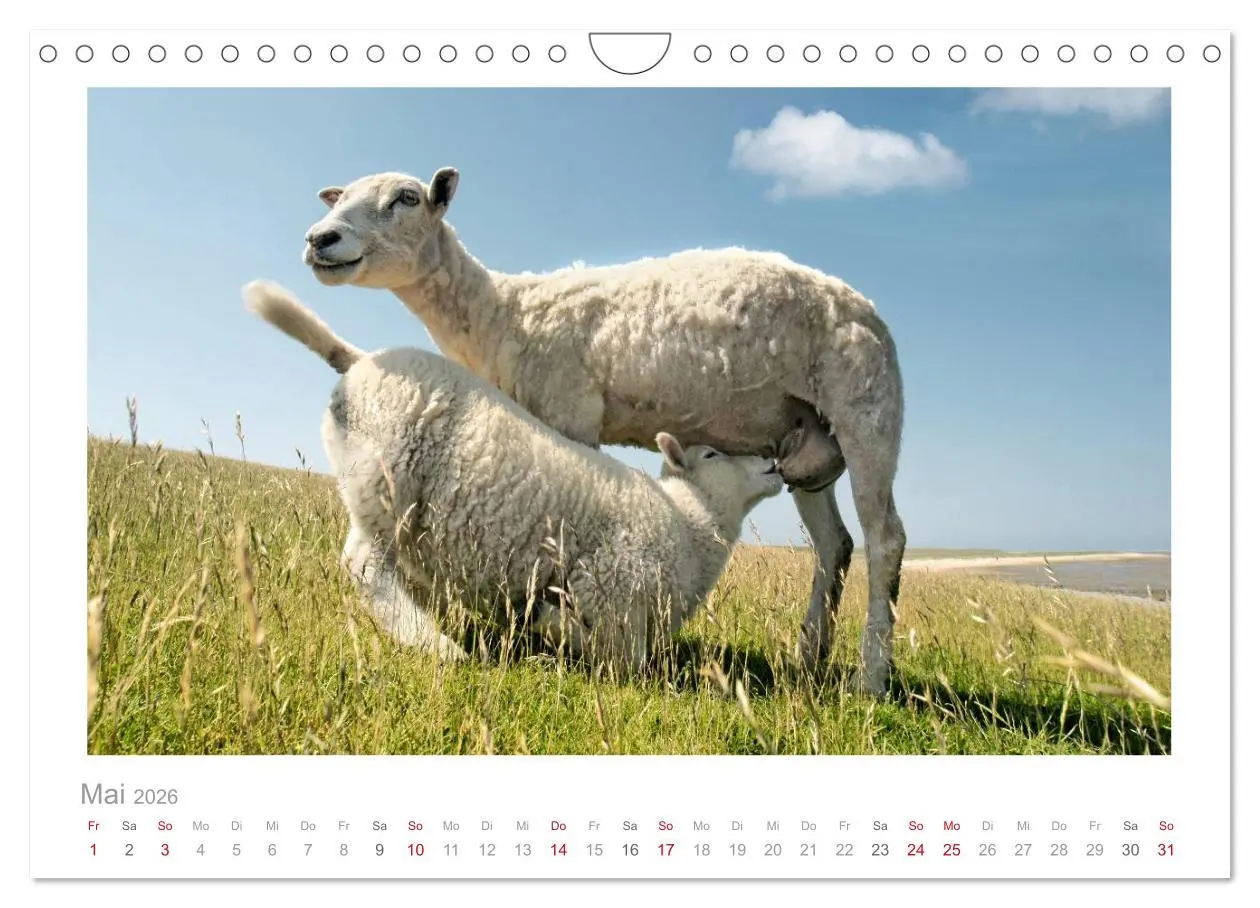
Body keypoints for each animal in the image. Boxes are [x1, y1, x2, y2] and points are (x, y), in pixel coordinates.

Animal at [243, 280, 785, 674]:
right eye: (712, 454)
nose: (773, 464)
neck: (689, 524)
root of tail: (360, 362)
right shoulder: (610, 587)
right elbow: (621, 658)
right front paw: (551, 624)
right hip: (387, 477)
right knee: (364, 564)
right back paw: (434, 644)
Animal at [301, 168, 906, 695]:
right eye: (339, 196)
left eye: (406, 198)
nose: (319, 238)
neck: (502, 313)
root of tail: (871, 311)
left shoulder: (570, 410)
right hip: (806, 440)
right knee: (835, 545)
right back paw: (809, 657)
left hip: (867, 410)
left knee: (885, 541)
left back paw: (871, 678)